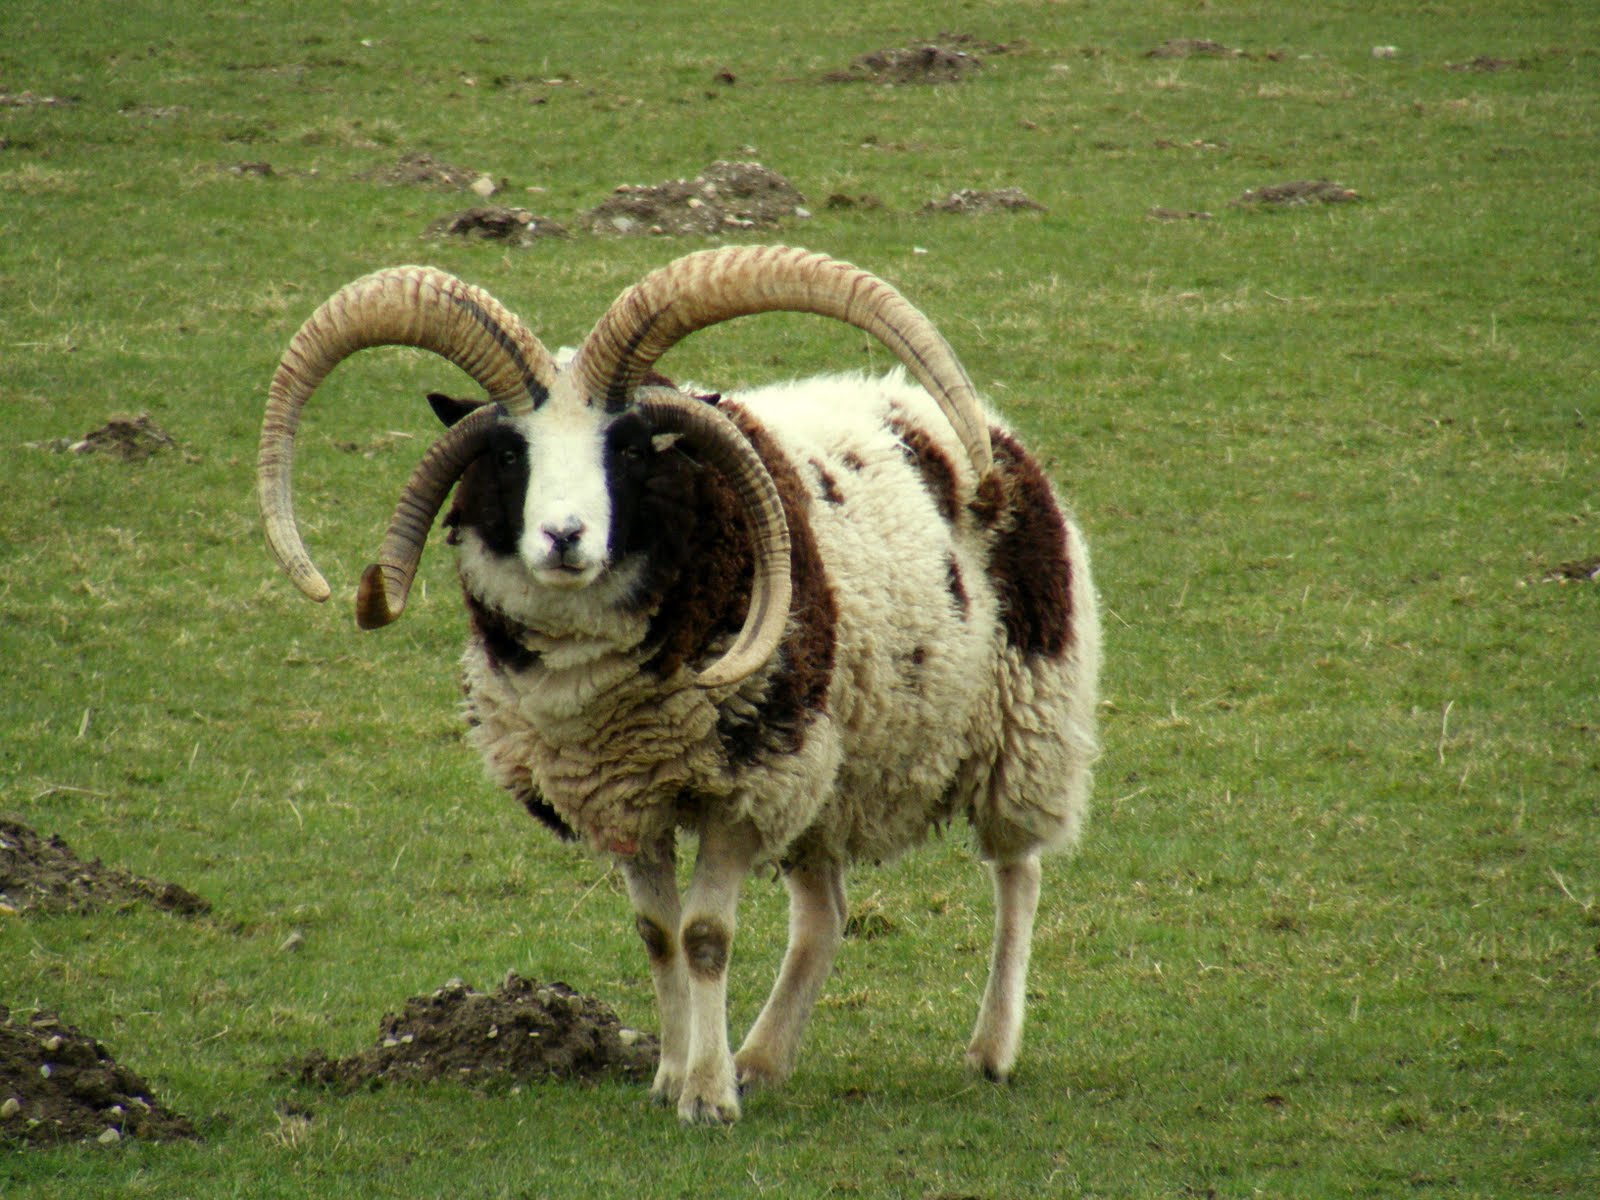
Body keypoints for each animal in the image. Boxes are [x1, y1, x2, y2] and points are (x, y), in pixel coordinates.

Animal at [257, 244, 1100, 1123]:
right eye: (510, 455)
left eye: (629, 450)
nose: (564, 536)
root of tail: (968, 423)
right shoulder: (623, 794)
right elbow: (657, 934)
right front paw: (671, 1076)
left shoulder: (742, 787)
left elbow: (704, 938)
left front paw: (706, 1096)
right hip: (824, 766)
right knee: (825, 915)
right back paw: (762, 1058)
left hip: (1024, 720)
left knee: (1017, 874)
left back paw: (990, 1050)